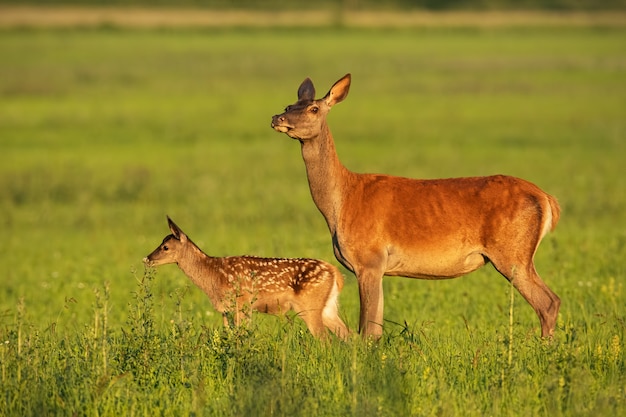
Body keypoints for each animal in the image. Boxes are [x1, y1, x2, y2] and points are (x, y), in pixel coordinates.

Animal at [143, 216, 348, 340]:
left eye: (165, 247)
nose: (147, 258)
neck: (213, 276)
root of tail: (334, 271)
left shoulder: (241, 303)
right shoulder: (226, 309)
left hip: (309, 306)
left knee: (325, 340)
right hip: (328, 307)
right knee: (348, 335)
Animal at [270, 72, 560, 338]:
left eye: (314, 108)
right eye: (288, 105)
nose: (277, 118)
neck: (341, 202)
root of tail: (547, 199)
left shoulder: (370, 260)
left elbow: (368, 329)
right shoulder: (378, 268)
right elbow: (376, 326)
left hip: (513, 252)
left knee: (548, 302)